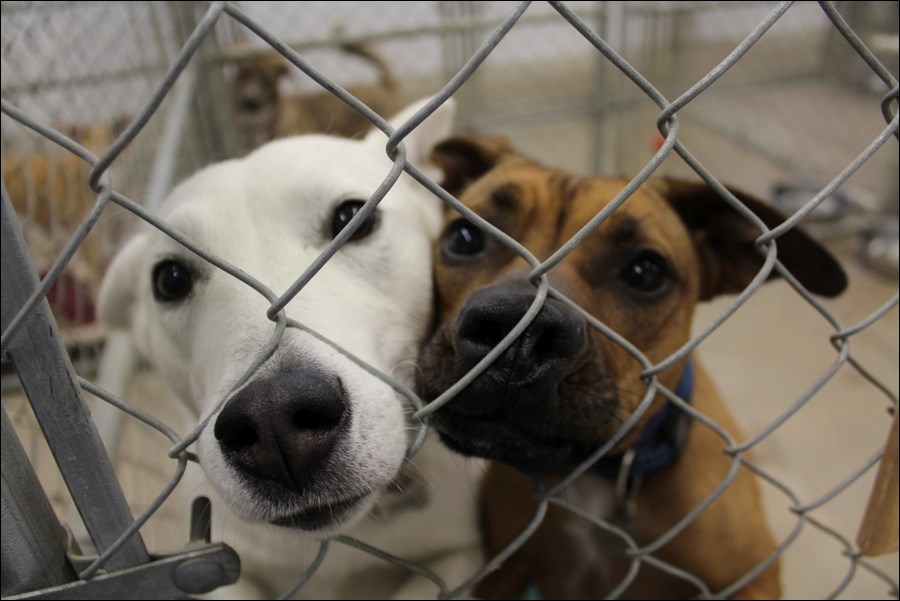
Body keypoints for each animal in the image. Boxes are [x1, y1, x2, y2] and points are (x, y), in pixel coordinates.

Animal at [418, 134, 848, 596]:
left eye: (645, 272)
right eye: (465, 238)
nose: (518, 332)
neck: (598, 479)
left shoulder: (755, 578)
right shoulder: (504, 570)